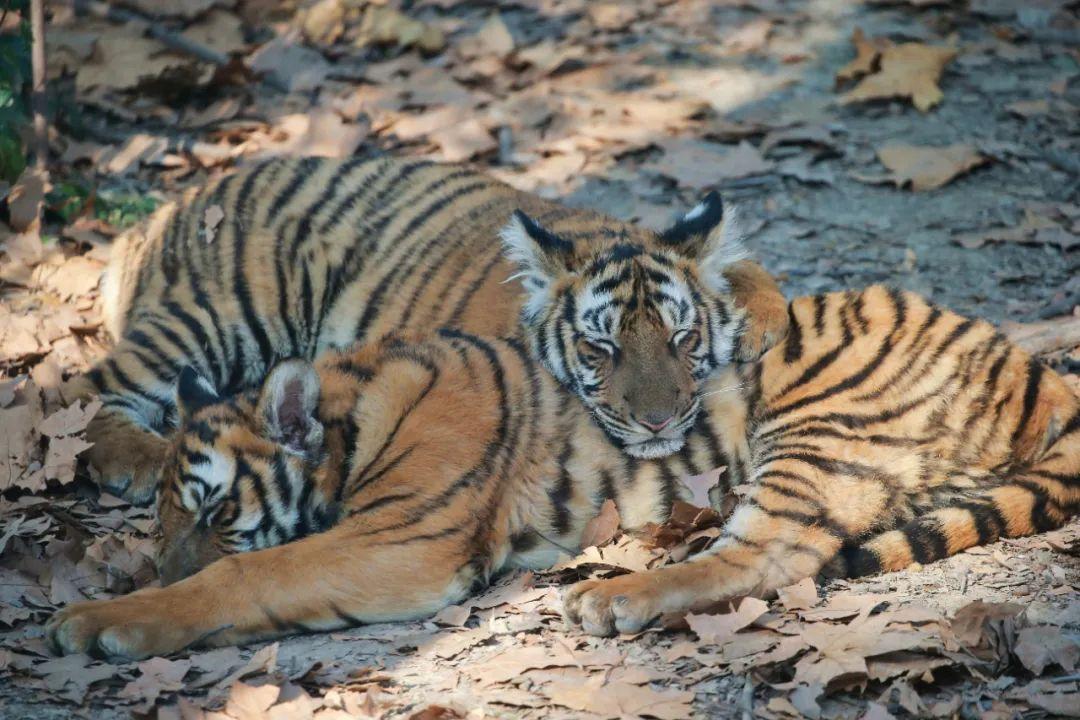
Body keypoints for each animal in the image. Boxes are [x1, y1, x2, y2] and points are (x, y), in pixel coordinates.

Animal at [46, 215, 1075, 660]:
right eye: (163, 517)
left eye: (217, 512)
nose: (157, 563)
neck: (358, 405)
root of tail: (1028, 373)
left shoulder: (401, 540)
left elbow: (251, 577)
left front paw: (97, 622)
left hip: (815, 425)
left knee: (771, 558)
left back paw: (610, 601)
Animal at [73, 157, 786, 507]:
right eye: (598, 348)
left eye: (681, 340)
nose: (658, 422)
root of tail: (159, 215)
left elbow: (752, 273)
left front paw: (761, 322)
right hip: (221, 312)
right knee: (87, 386)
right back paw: (140, 462)